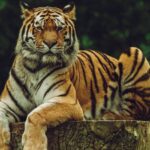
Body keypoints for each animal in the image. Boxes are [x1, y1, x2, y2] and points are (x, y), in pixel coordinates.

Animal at [0, 2, 149, 150]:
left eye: (59, 28)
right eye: (39, 28)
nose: (50, 43)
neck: (35, 68)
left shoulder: (67, 100)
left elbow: (36, 114)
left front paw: (33, 145)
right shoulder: (5, 104)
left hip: (133, 51)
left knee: (134, 113)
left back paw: (107, 115)